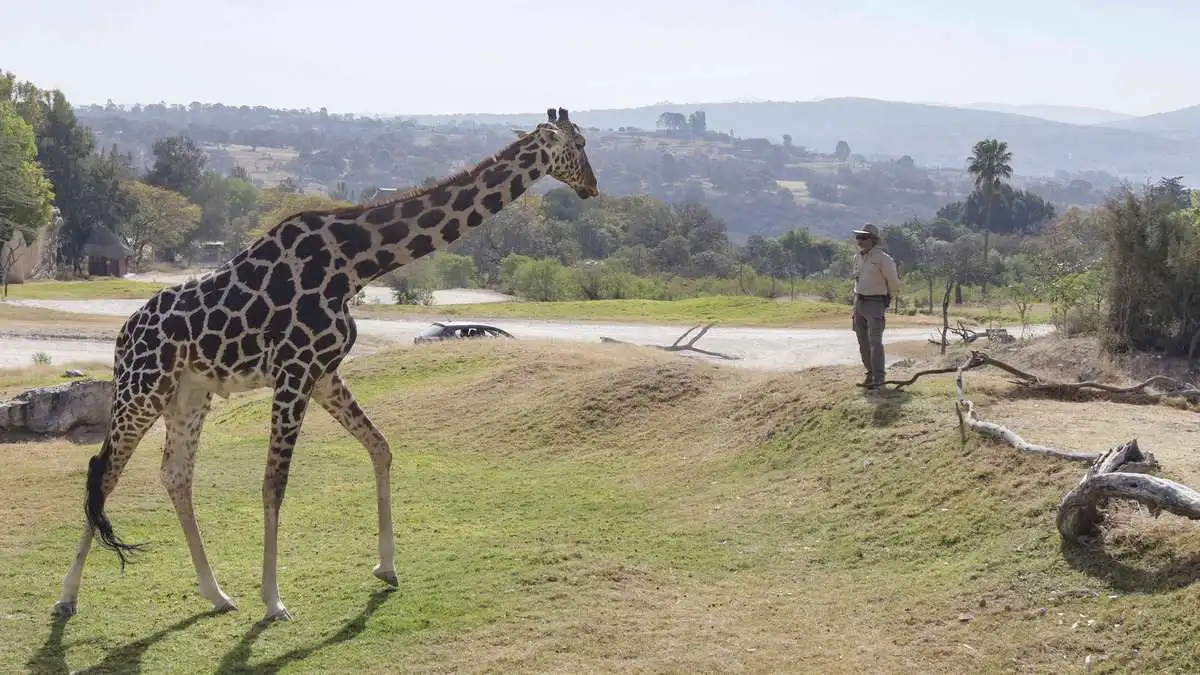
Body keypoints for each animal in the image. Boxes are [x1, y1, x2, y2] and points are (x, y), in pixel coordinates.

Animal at [50, 106, 600, 619]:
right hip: (142, 390)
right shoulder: (294, 371)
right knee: (103, 472)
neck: (355, 264)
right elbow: (273, 484)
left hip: (188, 394)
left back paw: (217, 594)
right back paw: (67, 598)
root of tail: (122, 336)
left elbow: (380, 447)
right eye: (579, 144)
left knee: (175, 474)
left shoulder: (323, 372)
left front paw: (386, 566)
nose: (592, 186)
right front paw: (274, 600)